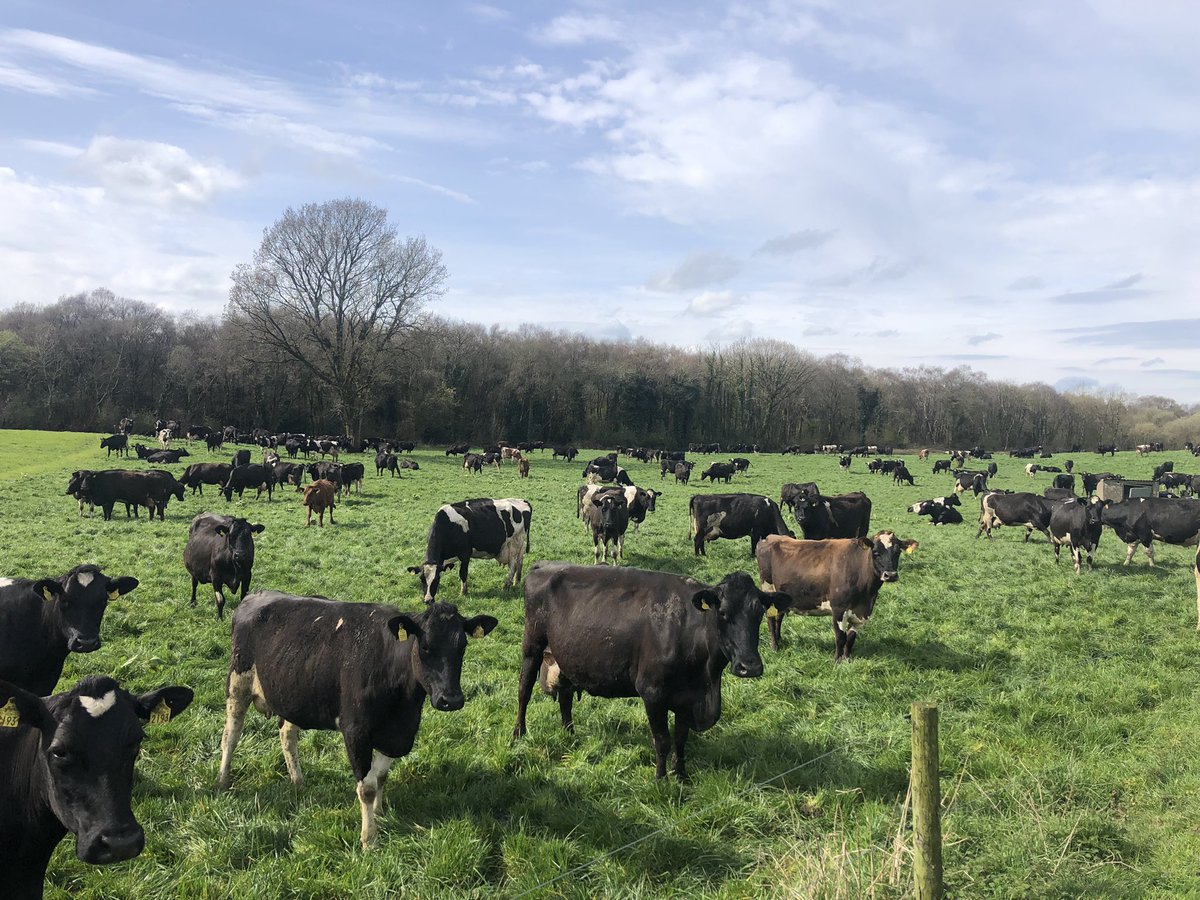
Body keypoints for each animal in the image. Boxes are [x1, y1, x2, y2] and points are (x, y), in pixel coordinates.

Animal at [213, 595, 494, 849]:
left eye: (462, 646)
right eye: (425, 646)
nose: (451, 699)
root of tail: (254, 596)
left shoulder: (396, 733)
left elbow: (381, 776)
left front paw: (379, 812)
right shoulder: (356, 732)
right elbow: (366, 788)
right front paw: (369, 839)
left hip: (294, 694)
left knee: (287, 734)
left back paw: (298, 781)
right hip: (238, 684)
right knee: (231, 735)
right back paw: (222, 781)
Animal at [513, 564, 787, 782]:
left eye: (759, 613)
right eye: (723, 613)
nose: (750, 666)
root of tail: (543, 566)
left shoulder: (686, 697)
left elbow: (681, 738)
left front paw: (681, 774)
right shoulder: (653, 693)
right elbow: (662, 740)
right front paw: (660, 778)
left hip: (568, 658)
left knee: (566, 697)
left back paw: (569, 732)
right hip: (532, 646)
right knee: (524, 689)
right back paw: (519, 733)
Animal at [758, 532, 916, 667]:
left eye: (898, 552)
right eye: (876, 552)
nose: (891, 575)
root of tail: (770, 537)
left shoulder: (862, 613)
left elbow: (851, 638)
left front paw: (847, 659)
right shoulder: (839, 609)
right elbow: (840, 637)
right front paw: (837, 661)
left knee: (779, 617)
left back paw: (779, 639)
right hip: (768, 588)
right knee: (771, 619)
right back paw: (775, 646)